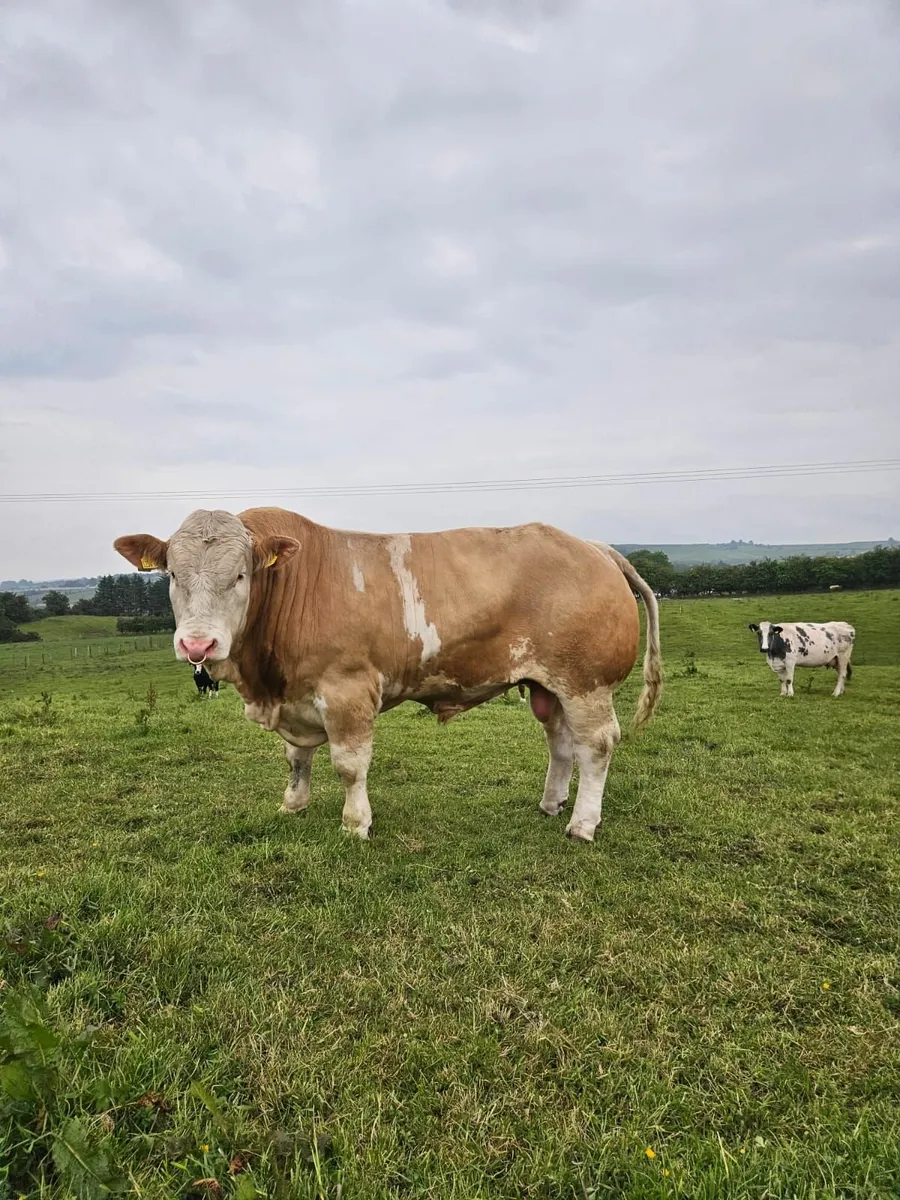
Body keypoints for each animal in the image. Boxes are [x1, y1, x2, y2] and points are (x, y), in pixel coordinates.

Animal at [113, 508, 662, 843]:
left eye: (241, 575)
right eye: (172, 575)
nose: (197, 645)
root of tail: (593, 547)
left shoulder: (348, 690)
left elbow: (349, 766)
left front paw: (356, 824)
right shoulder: (296, 696)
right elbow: (296, 759)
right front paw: (293, 804)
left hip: (586, 684)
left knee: (596, 746)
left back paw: (582, 824)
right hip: (549, 686)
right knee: (561, 744)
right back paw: (551, 804)